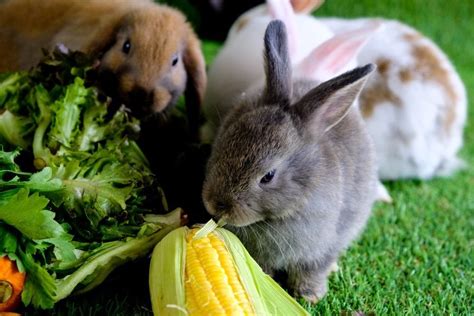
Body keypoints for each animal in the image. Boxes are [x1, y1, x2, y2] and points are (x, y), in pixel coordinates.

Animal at [203, 19, 378, 302]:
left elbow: (313, 269)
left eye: (268, 176)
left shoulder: (324, 246)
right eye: (224, 142)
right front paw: (265, 279)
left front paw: (309, 295)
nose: (216, 205)